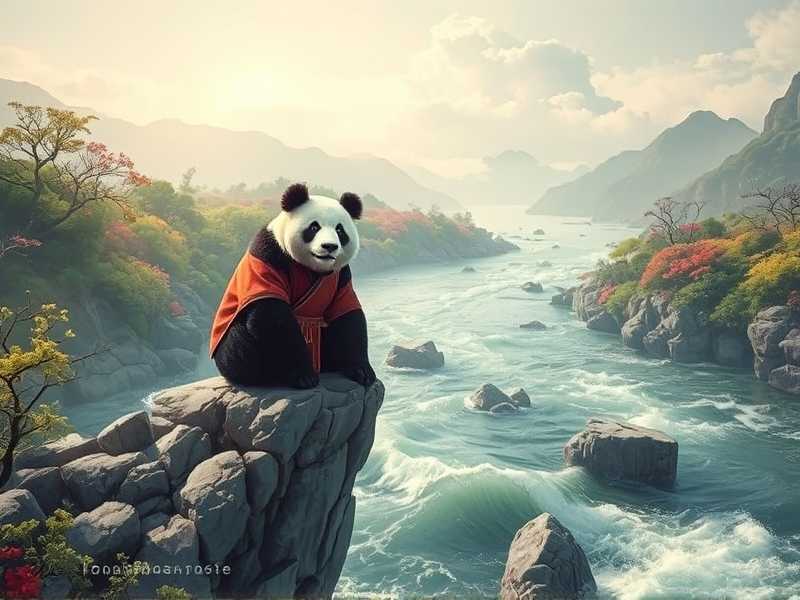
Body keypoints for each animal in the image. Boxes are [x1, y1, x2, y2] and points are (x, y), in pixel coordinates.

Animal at [209, 182, 375, 389]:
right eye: (314, 227)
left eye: (340, 230)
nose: (329, 246)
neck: (312, 268)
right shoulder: (269, 257)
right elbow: (273, 317)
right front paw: (303, 376)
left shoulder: (342, 275)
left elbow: (347, 314)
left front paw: (361, 370)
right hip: (227, 348)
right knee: (240, 345)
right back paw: (268, 376)